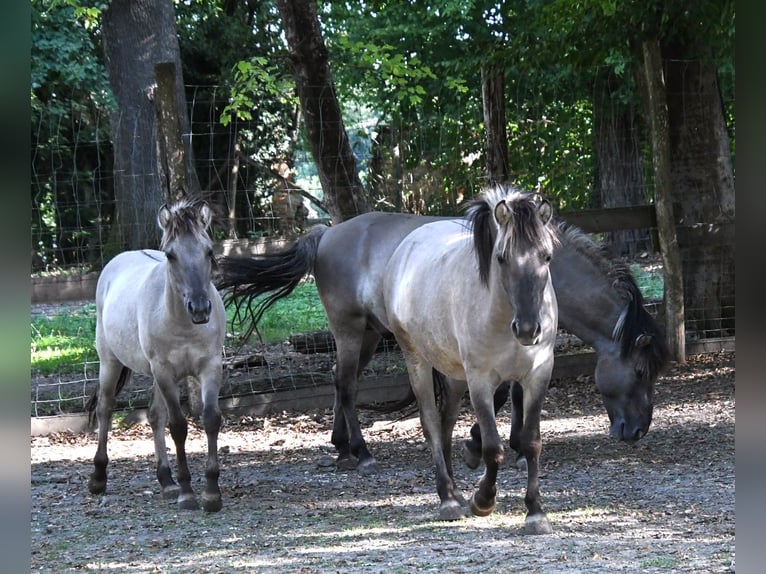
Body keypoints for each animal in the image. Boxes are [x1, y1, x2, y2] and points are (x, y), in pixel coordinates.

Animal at [86, 198, 227, 512]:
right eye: (170, 255)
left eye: (209, 251)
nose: (200, 308)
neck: (184, 324)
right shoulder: (164, 371)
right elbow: (178, 426)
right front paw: (187, 493)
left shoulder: (210, 368)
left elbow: (210, 419)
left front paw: (211, 493)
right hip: (110, 362)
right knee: (105, 409)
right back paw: (98, 478)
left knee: (153, 415)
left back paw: (166, 482)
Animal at [382, 188, 558, 532]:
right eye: (501, 258)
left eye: (546, 257)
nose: (528, 329)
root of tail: (406, 247)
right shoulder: (480, 381)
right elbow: (492, 447)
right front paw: (483, 500)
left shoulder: (538, 375)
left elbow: (531, 442)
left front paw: (535, 512)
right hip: (417, 360)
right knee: (431, 424)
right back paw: (448, 500)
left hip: (453, 375)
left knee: (447, 424)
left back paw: (455, 493)